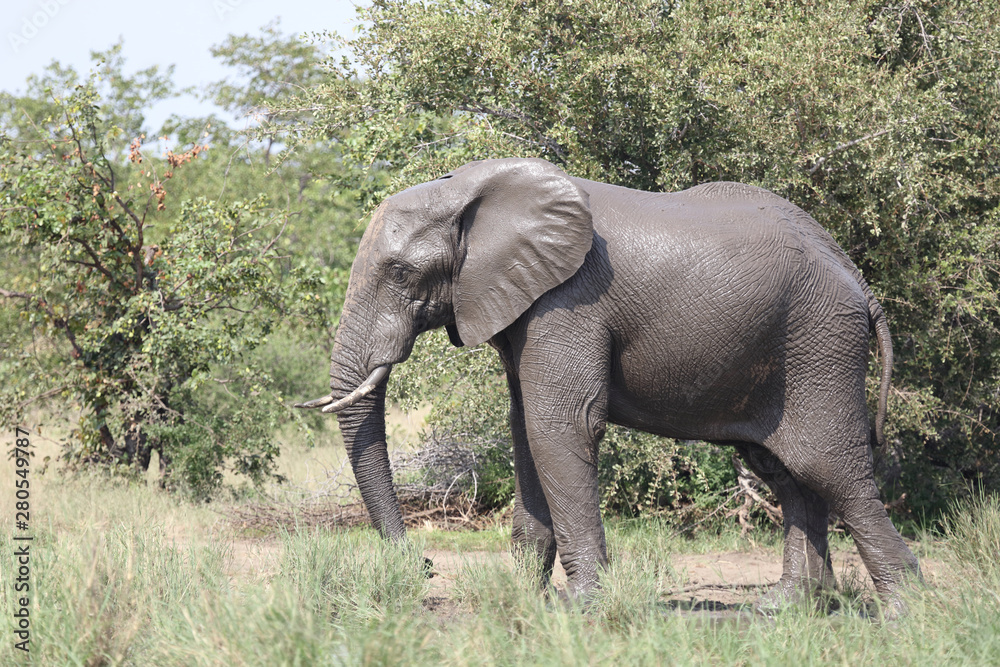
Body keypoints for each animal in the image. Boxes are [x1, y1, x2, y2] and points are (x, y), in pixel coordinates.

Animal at [297, 157, 921, 616]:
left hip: (819, 345)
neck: (473, 191)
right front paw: (527, 600)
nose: (422, 563)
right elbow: (526, 432)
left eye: (401, 273)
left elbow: (560, 427)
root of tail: (859, 282)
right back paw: (788, 608)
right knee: (785, 472)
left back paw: (904, 612)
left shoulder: (568, 300)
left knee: (828, 466)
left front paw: (580, 606)